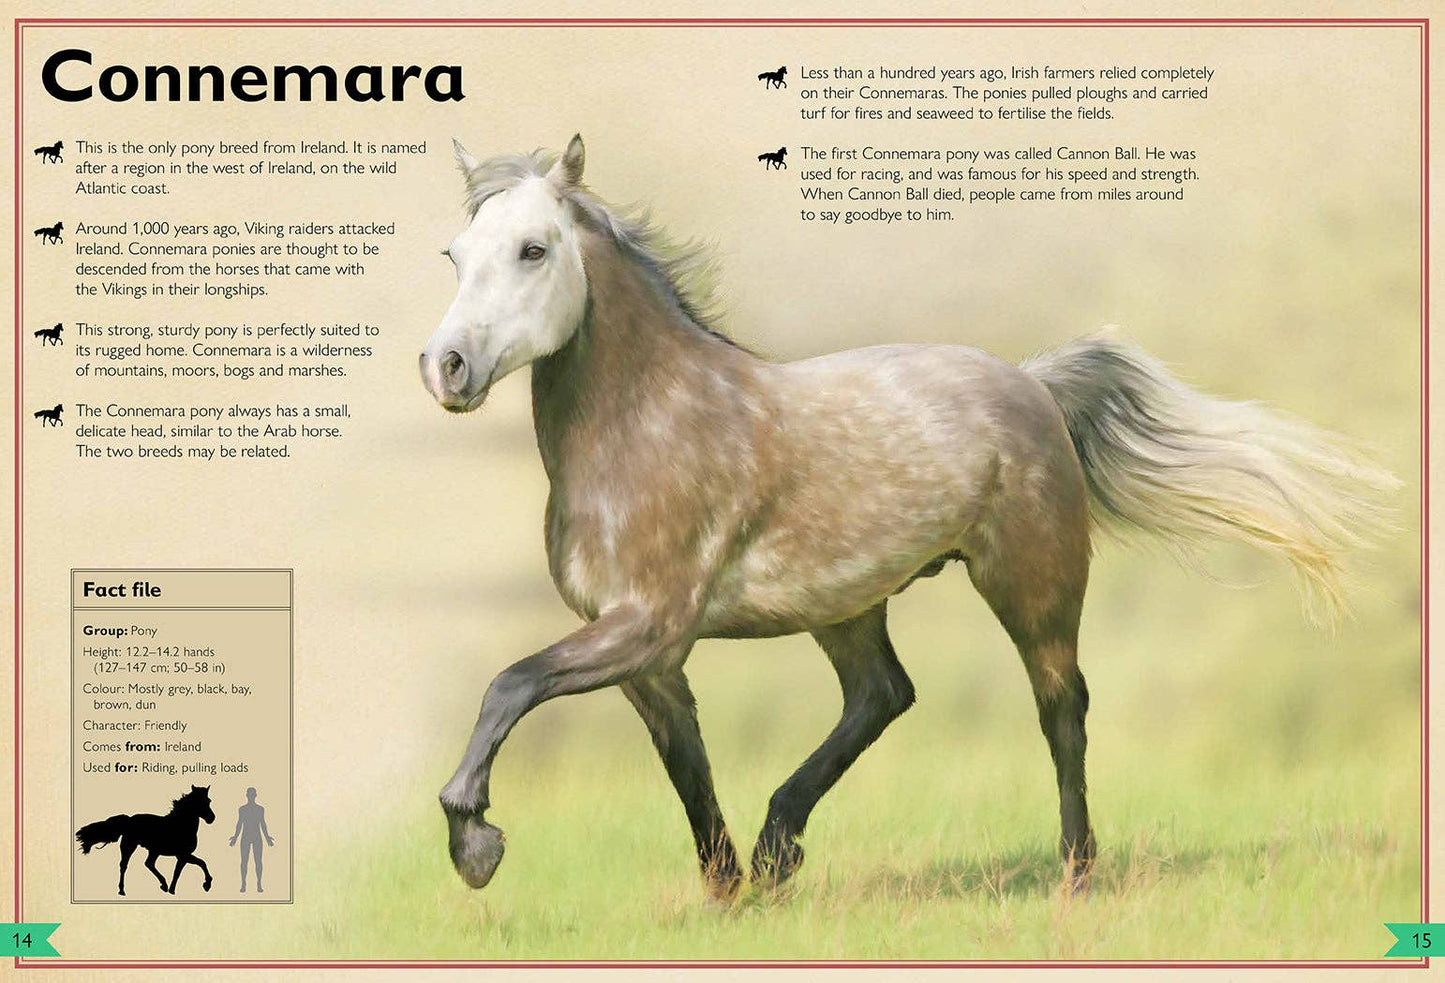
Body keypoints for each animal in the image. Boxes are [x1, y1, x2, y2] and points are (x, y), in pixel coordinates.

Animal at [75, 785, 216, 895]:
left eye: (208, 801)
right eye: (200, 802)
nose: (211, 818)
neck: (181, 826)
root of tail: (129, 820)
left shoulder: (182, 856)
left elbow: (184, 870)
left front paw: (172, 890)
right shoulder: (183, 855)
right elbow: (199, 864)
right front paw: (206, 885)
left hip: (153, 851)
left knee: (148, 864)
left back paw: (163, 885)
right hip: (130, 846)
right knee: (125, 865)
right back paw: (122, 890)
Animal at [419, 135, 1397, 901]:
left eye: (534, 249)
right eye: (456, 254)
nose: (447, 367)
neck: (650, 425)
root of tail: (1032, 383)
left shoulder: (648, 626)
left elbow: (509, 683)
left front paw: (474, 845)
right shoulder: (645, 656)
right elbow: (685, 767)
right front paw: (729, 892)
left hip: (1030, 584)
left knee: (1061, 708)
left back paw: (1076, 873)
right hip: (847, 605)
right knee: (883, 694)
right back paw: (779, 849)